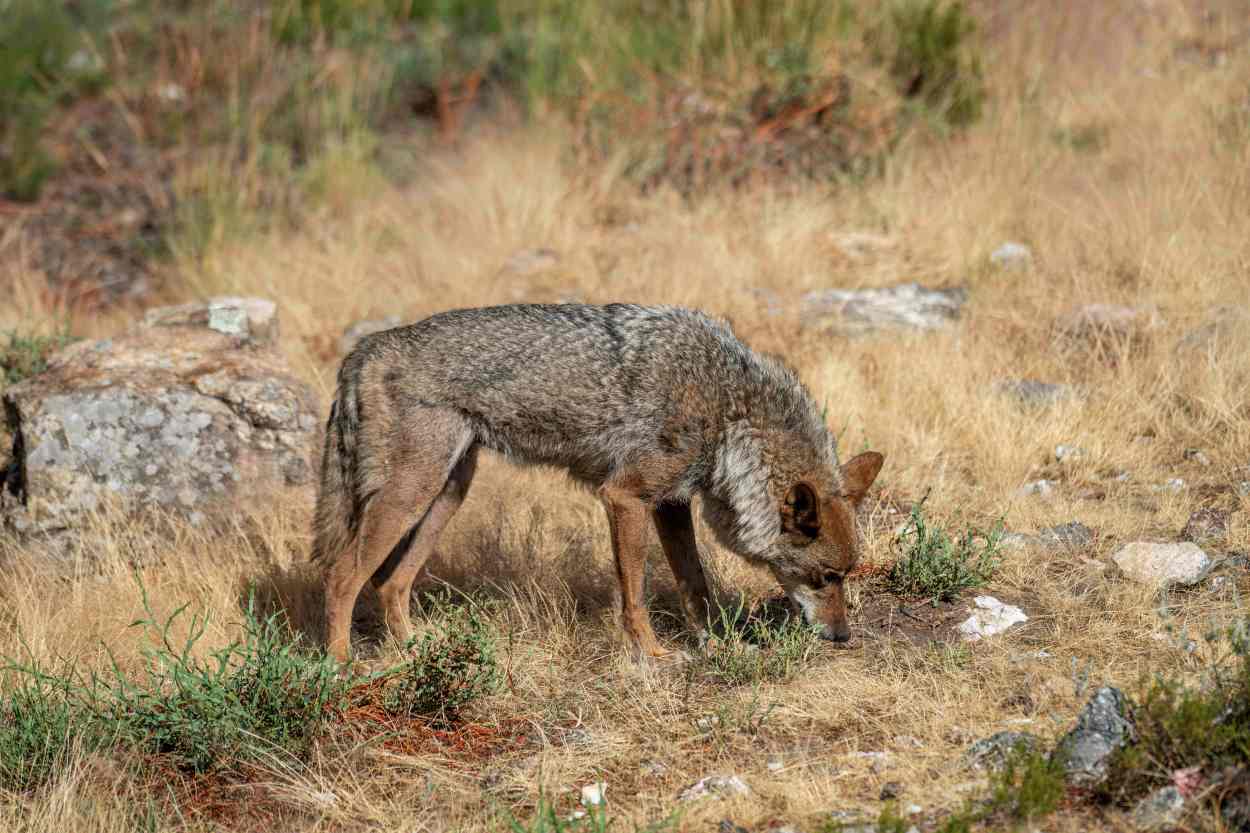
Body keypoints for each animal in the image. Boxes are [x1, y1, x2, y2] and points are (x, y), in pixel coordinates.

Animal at [312, 303, 883, 663]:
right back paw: (342, 668)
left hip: (447, 492)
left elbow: (695, 586)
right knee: (342, 578)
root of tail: (364, 348)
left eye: (845, 576)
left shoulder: (669, 503)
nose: (842, 636)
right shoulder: (625, 496)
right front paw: (652, 655)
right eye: (826, 578)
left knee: (390, 583)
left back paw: (416, 652)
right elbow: (634, 595)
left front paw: (720, 646)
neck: (730, 412)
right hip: (412, 495)